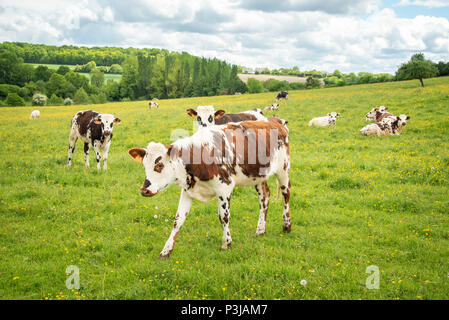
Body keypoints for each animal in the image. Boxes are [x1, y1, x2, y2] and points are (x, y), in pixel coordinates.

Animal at [129, 117, 290, 260]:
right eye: (144, 165)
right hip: (258, 176)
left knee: (286, 194)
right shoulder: (187, 191)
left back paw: (287, 225)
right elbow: (178, 220)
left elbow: (224, 217)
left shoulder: (224, 188)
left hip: (283, 169)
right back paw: (260, 230)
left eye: (159, 165)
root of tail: (275, 120)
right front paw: (165, 251)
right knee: (264, 197)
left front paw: (226, 244)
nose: (144, 190)